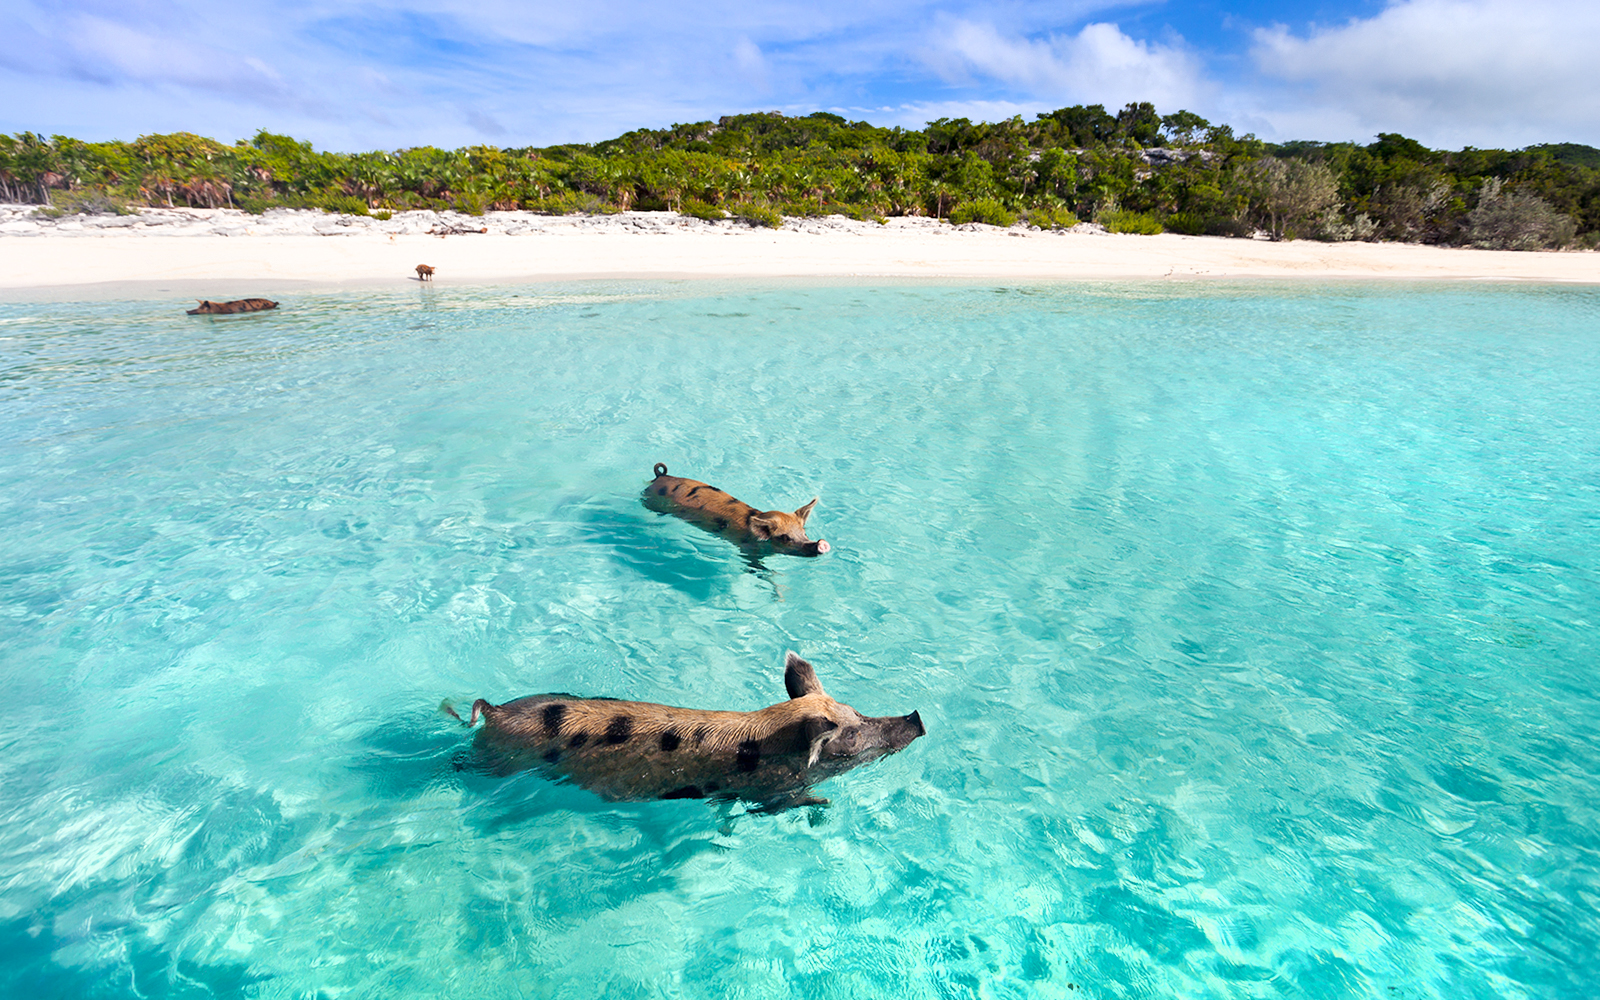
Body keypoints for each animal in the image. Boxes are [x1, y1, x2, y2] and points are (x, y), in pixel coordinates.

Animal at [448, 652, 923, 810]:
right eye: (851, 735)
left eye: (857, 711)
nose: (916, 717)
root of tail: (493, 711)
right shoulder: (766, 790)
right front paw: (823, 803)